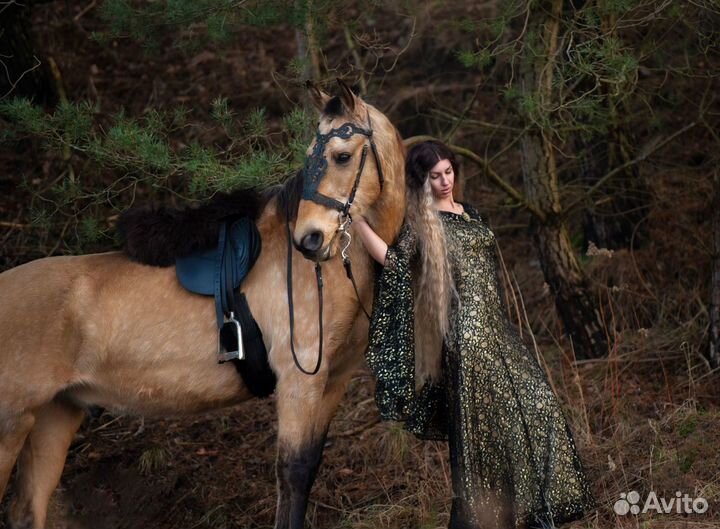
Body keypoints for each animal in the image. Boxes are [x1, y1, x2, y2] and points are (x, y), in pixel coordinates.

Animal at [0, 79, 404, 528]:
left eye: (342, 156)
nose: (310, 240)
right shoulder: (299, 381)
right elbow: (293, 473)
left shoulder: (333, 381)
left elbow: (308, 468)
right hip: (11, 426)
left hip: (54, 417)